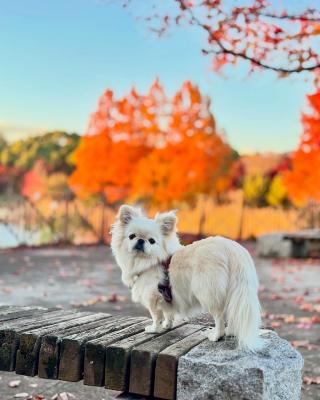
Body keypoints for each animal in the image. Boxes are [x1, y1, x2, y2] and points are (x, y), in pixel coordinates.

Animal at [111, 205, 264, 352]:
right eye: (132, 236)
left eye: (152, 241)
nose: (140, 241)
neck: (146, 261)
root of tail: (232, 249)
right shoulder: (166, 297)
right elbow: (168, 313)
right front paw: (167, 325)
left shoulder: (153, 297)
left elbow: (156, 316)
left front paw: (154, 329)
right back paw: (231, 332)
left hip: (207, 292)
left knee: (219, 317)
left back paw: (216, 336)